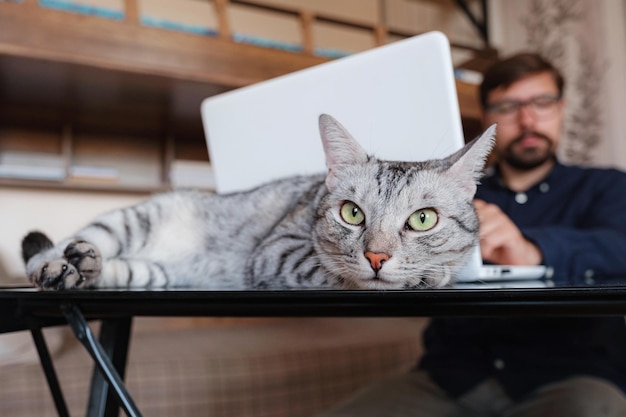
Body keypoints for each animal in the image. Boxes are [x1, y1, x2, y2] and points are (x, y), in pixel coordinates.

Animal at [23, 114, 492, 290]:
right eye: (352, 213)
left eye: (423, 219)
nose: (376, 256)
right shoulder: (276, 251)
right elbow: (329, 271)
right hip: (133, 218)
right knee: (57, 248)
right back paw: (61, 265)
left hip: (151, 274)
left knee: (113, 270)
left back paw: (88, 266)